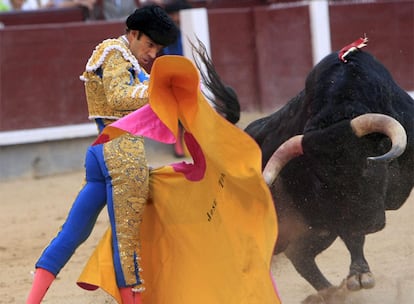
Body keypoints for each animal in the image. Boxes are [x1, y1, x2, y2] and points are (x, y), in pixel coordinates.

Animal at [194, 42, 414, 292]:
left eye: (367, 166)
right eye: (321, 180)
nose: (367, 222)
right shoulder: (331, 210)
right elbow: (351, 235)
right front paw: (360, 274)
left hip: (315, 229)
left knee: (300, 255)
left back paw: (329, 292)